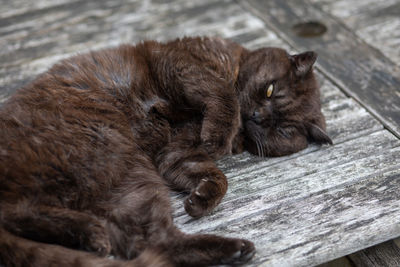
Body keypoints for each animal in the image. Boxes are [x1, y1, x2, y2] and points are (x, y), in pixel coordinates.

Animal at [0, 36, 332, 266]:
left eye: (284, 130)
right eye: (270, 90)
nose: (258, 117)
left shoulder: (175, 155)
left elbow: (217, 176)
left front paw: (200, 198)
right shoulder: (180, 61)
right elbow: (221, 91)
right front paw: (218, 135)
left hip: (133, 182)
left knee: (153, 241)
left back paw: (237, 250)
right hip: (103, 147)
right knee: (16, 211)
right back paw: (90, 231)